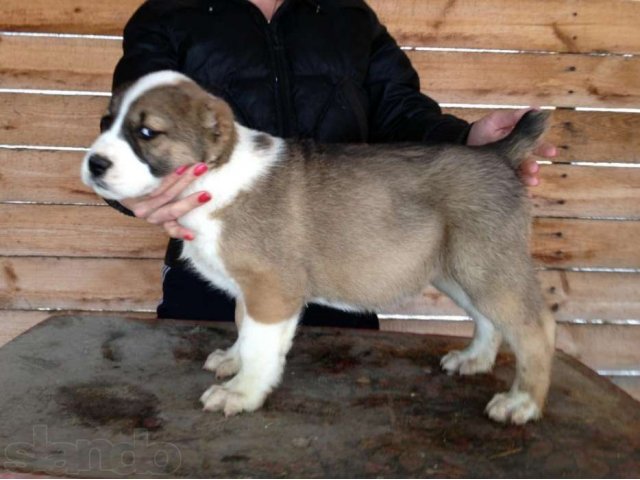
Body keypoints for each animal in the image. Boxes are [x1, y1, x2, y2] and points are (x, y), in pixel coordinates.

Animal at [82, 70, 556, 424]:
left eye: (147, 132)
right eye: (105, 123)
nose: (94, 163)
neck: (216, 175)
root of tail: (498, 154)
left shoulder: (272, 289)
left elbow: (259, 345)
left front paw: (242, 393)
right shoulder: (252, 290)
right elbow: (243, 327)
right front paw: (234, 362)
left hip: (486, 267)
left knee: (536, 328)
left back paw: (522, 403)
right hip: (460, 271)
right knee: (489, 319)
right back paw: (473, 360)